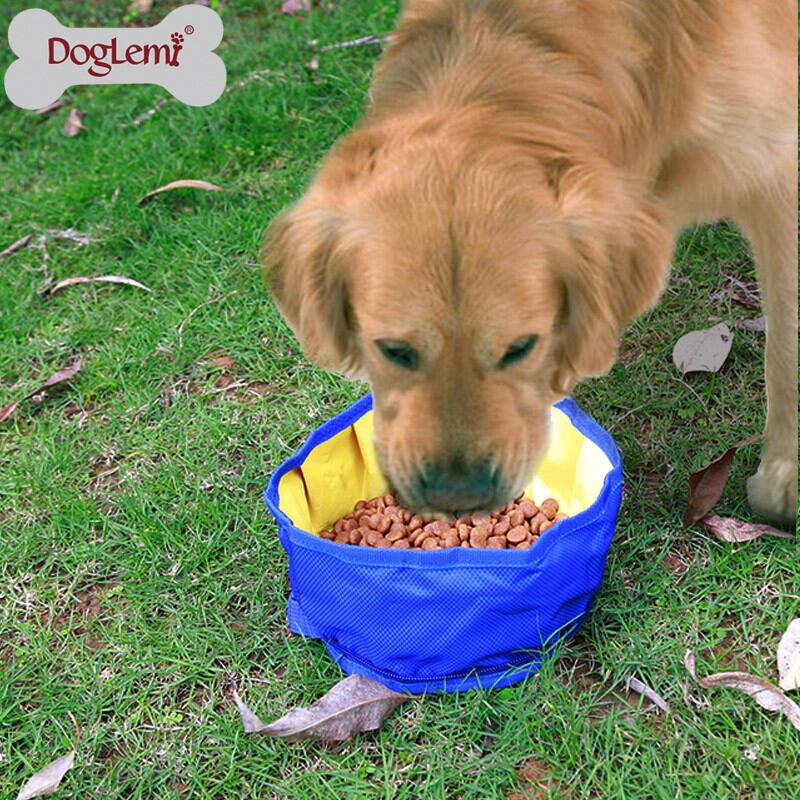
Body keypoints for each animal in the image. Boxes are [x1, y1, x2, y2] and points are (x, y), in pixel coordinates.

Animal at [262, 0, 797, 526]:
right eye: (393, 351)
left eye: (521, 347)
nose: (458, 500)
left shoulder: (775, 178)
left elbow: (785, 352)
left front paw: (782, 484)